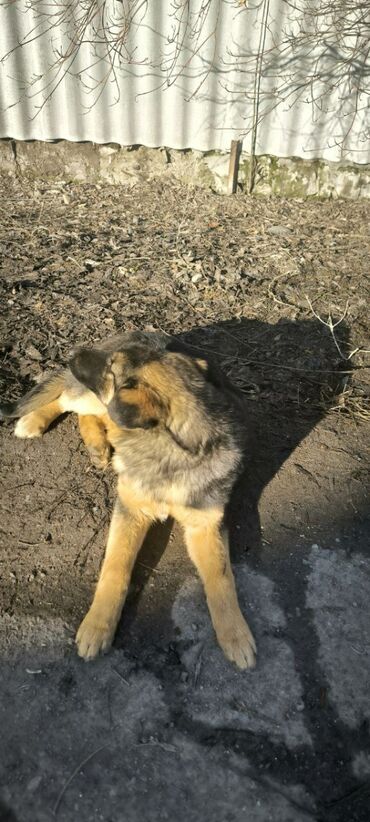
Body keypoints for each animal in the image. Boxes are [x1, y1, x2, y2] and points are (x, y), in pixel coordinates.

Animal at [2, 332, 258, 672]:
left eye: (111, 369)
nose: (73, 353)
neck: (167, 452)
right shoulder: (131, 510)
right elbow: (115, 568)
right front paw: (98, 626)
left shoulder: (206, 523)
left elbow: (221, 578)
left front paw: (235, 634)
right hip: (91, 398)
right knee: (68, 401)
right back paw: (35, 421)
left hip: (104, 405)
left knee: (90, 416)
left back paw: (98, 445)